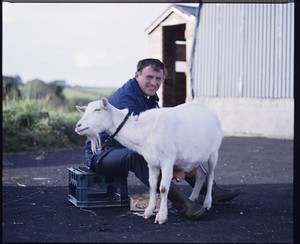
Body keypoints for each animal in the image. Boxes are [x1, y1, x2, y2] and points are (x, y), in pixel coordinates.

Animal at [76, 98, 224, 224]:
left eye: (98, 110)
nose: (78, 126)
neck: (144, 131)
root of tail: (211, 112)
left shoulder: (167, 160)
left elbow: (163, 188)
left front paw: (161, 216)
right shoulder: (152, 163)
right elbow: (152, 185)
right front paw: (148, 211)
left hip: (213, 154)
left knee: (210, 176)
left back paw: (207, 203)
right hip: (194, 158)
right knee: (201, 175)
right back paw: (193, 199)